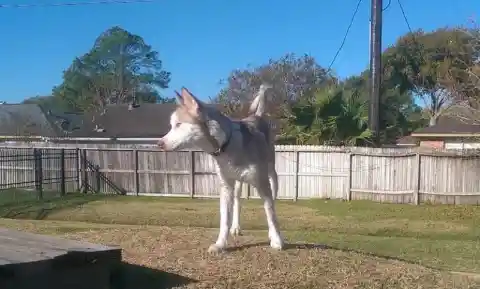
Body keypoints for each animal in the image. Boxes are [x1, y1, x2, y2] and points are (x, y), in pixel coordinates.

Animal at [158, 84, 284, 252]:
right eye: (172, 126)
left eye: (178, 124)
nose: (159, 143)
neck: (227, 144)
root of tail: (256, 116)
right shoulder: (226, 187)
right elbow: (224, 219)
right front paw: (220, 244)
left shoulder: (263, 184)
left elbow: (271, 214)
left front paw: (276, 240)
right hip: (237, 184)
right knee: (238, 201)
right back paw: (236, 227)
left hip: (271, 175)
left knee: (273, 200)